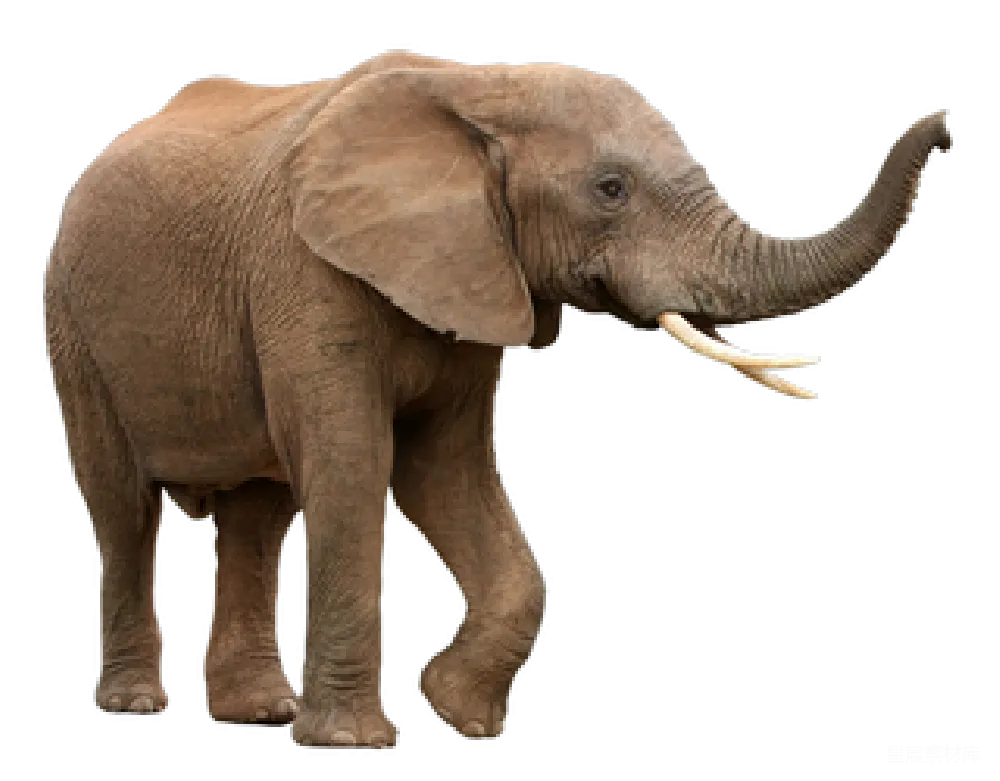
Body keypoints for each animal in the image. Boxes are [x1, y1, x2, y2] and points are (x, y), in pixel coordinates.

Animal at [43, 51, 952, 748]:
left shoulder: (474, 275)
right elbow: (353, 462)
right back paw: (137, 706)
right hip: (74, 324)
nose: (943, 129)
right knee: (124, 506)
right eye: (611, 189)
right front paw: (356, 743)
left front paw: (460, 715)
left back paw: (258, 711)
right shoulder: (306, 271)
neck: (480, 89)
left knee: (256, 515)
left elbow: (442, 470)